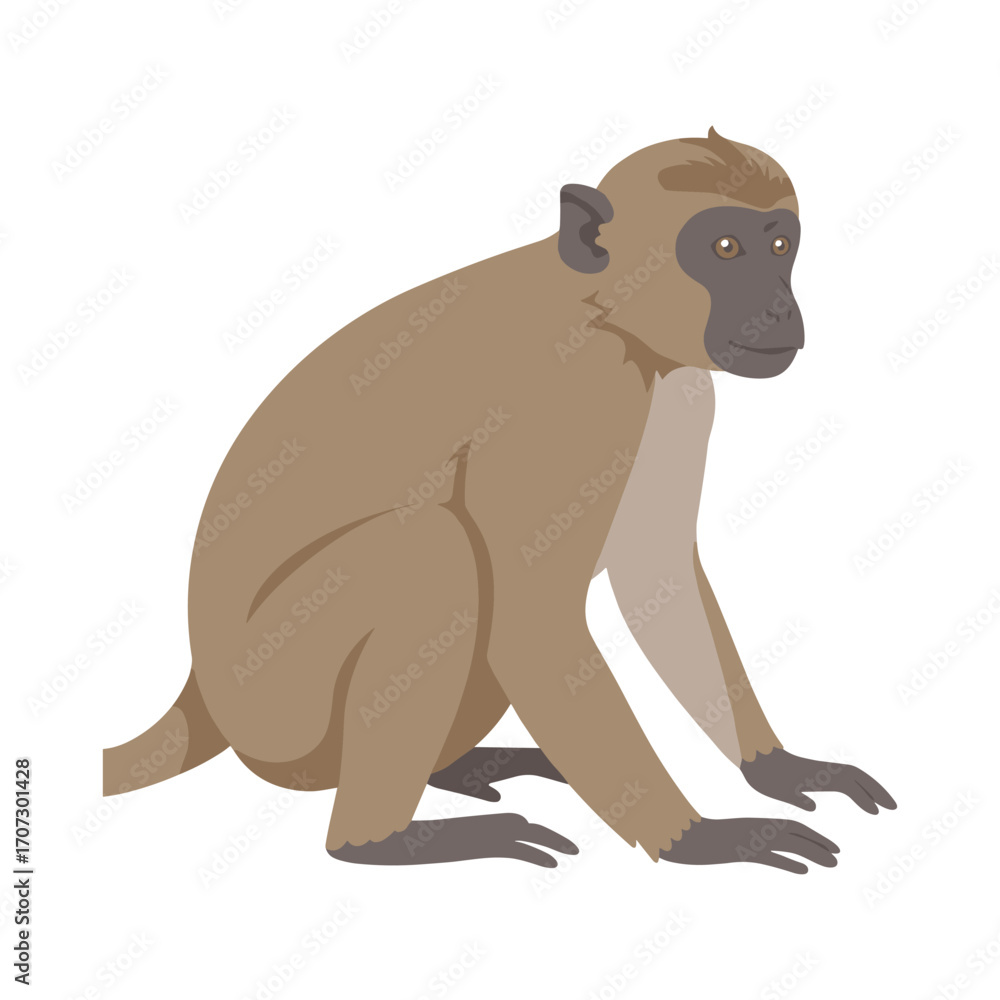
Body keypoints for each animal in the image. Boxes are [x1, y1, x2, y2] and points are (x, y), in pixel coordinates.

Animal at [104, 128, 895, 873]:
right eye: (725, 248)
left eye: (781, 245)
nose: (780, 307)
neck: (603, 310)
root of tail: (204, 694)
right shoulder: (574, 393)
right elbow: (533, 623)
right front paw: (697, 838)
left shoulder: (677, 389)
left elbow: (657, 577)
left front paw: (777, 767)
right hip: (275, 701)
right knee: (437, 553)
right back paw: (381, 840)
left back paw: (456, 770)